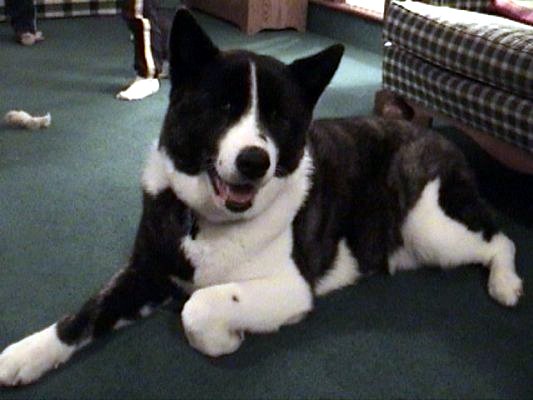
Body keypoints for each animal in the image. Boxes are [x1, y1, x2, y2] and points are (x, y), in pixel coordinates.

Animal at [0, 9, 523, 386]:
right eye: (224, 107)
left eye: (278, 116)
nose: (255, 161)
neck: (206, 221)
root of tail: (433, 136)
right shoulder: (145, 270)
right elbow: (84, 313)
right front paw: (25, 354)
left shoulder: (289, 287)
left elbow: (198, 305)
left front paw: (223, 339)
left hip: (432, 226)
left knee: (501, 240)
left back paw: (506, 285)